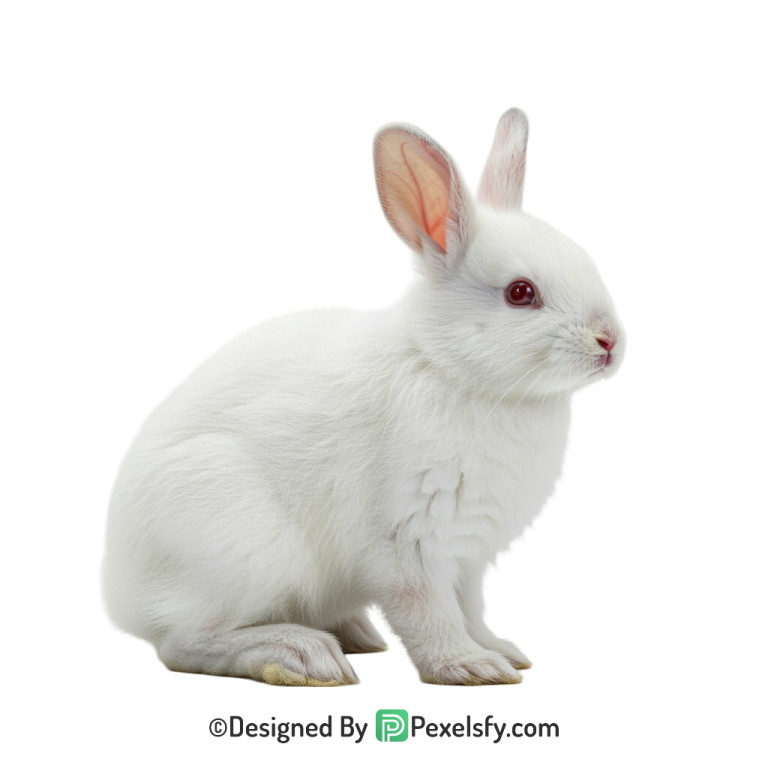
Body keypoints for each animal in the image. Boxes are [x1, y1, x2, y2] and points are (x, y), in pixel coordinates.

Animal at [97, 106, 626, 687]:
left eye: (586, 259)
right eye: (520, 293)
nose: (610, 342)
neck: (449, 368)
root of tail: (118, 597)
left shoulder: (469, 558)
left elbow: (471, 611)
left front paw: (502, 652)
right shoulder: (408, 543)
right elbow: (428, 613)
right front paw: (468, 667)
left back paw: (356, 634)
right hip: (246, 548)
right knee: (184, 643)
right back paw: (301, 655)